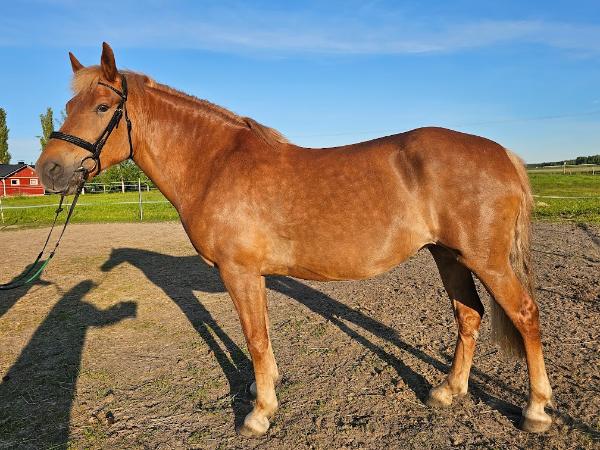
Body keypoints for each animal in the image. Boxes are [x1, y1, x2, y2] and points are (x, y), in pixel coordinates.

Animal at [36, 43, 552, 437]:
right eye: (69, 108)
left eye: (103, 107)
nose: (48, 170)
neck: (214, 164)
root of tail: (503, 154)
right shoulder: (252, 276)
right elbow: (260, 337)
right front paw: (263, 389)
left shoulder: (239, 272)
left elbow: (255, 338)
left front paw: (259, 413)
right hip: (449, 256)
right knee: (470, 316)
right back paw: (448, 392)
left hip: (486, 260)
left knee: (525, 314)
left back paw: (535, 409)